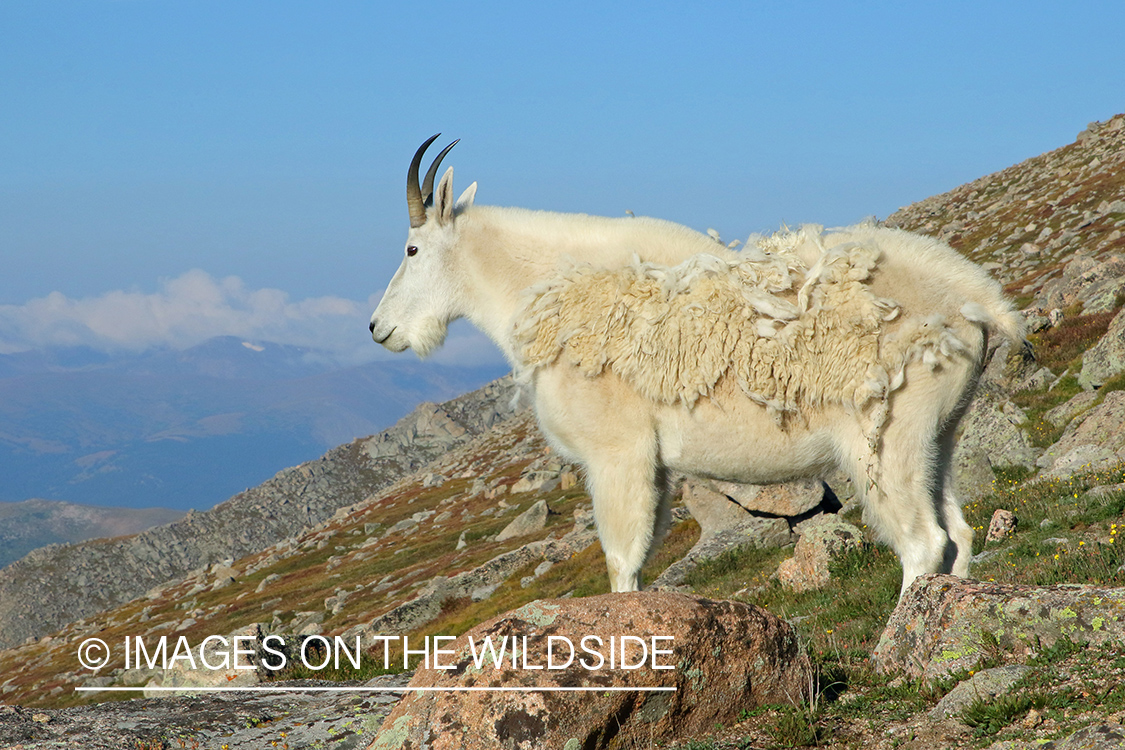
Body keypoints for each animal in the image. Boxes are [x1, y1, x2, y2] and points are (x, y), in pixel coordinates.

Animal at [371, 132, 1030, 593]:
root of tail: (979, 301)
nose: (380, 329)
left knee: (923, 541)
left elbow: (621, 560)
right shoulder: (655, 467)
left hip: (887, 437)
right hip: (939, 435)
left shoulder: (617, 452)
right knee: (958, 533)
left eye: (412, 249)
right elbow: (639, 557)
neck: (548, 288)